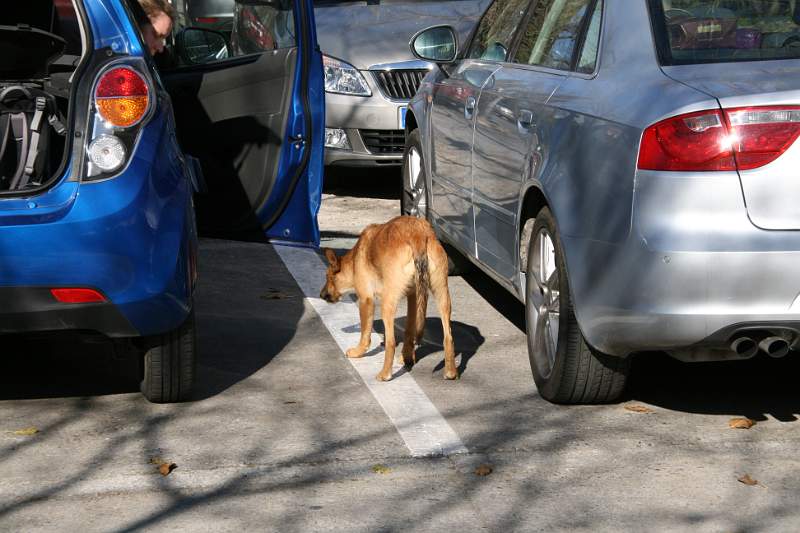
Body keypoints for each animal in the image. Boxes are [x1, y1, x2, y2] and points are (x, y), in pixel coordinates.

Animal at [318, 214, 456, 380]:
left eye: (328, 277)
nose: (321, 295)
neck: (354, 260)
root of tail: (418, 234)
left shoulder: (366, 300)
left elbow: (365, 334)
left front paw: (358, 352)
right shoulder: (413, 296)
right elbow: (409, 331)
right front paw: (407, 356)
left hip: (387, 304)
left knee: (390, 342)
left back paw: (385, 374)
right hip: (442, 295)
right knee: (448, 337)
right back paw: (450, 371)